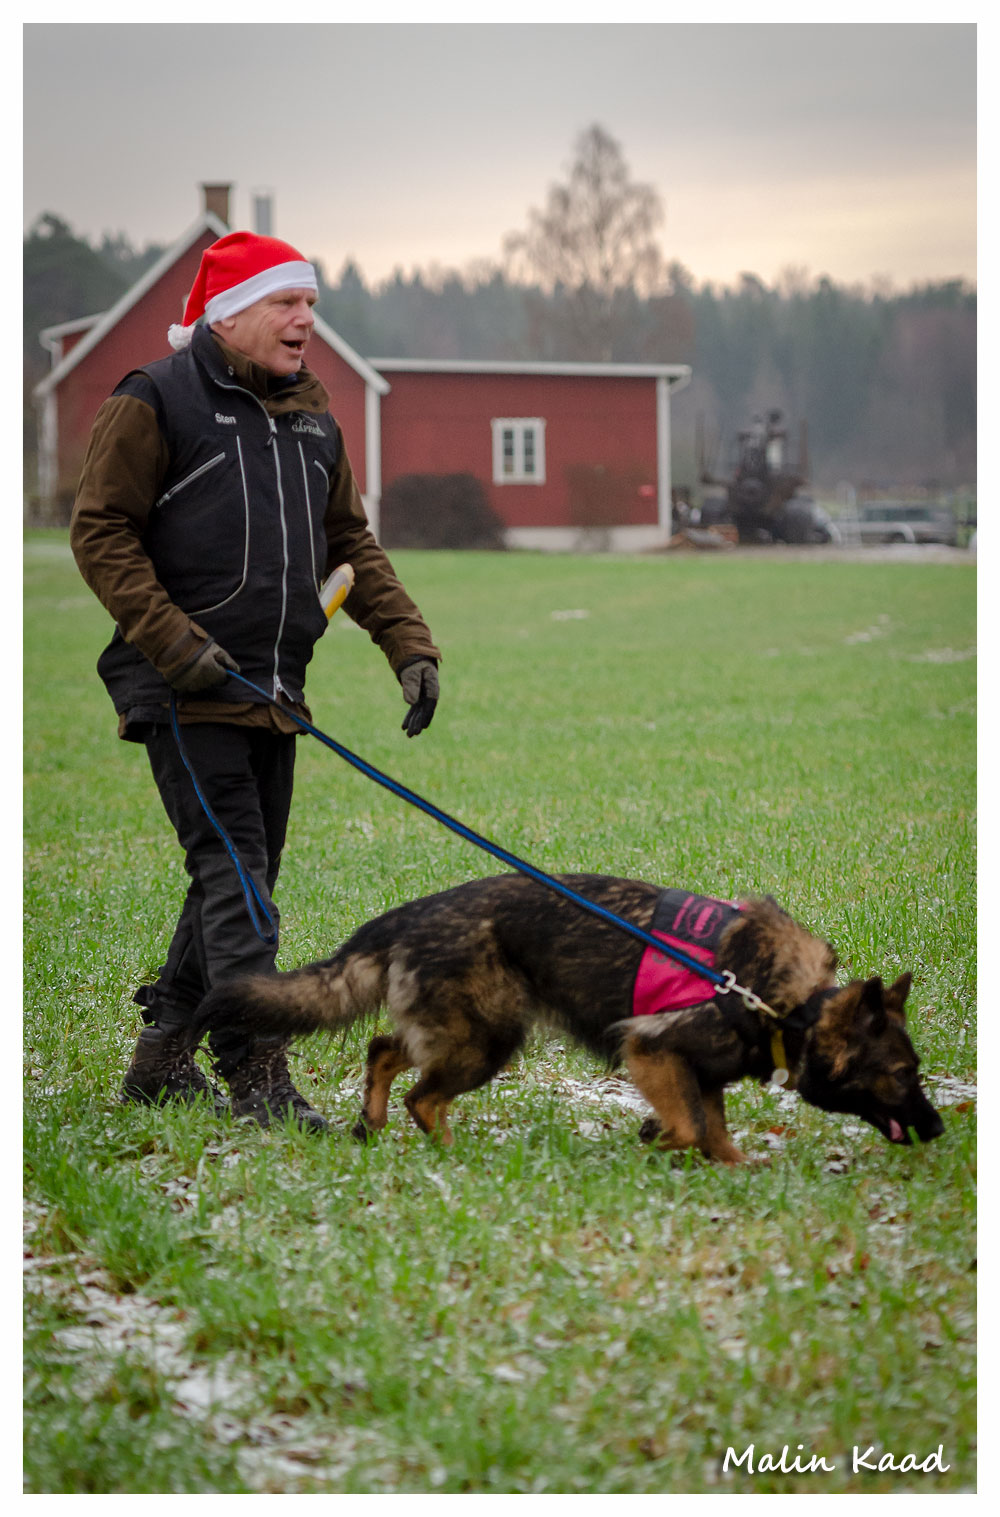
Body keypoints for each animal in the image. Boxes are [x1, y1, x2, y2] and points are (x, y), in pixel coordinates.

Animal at [190, 874, 944, 1162]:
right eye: (901, 1073)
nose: (938, 1129)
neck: (785, 1004)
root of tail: (408, 914)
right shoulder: (651, 1050)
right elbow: (685, 1126)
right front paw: (655, 1143)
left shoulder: (701, 1074)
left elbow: (714, 1132)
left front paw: (724, 1163)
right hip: (487, 1041)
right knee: (422, 1096)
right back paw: (449, 1149)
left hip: (465, 1031)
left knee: (382, 1049)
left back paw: (372, 1123)